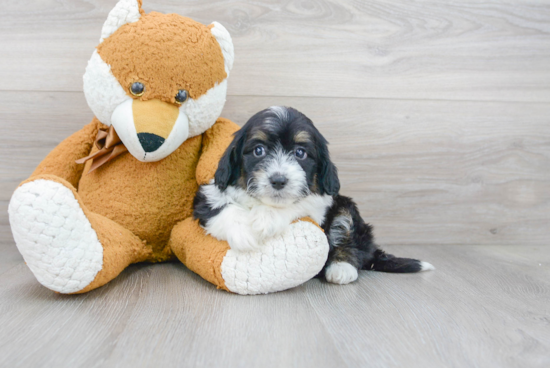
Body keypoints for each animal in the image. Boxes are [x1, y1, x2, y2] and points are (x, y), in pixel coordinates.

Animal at [194, 106, 436, 284]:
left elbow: (300, 204)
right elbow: (221, 208)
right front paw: (243, 232)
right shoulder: (208, 195)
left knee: (353, 241)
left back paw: (341, 268)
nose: (279, 180)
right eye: (258, 150)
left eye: (300, 153)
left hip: (346, 207)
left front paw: (267, 219)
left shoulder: (322, 202)